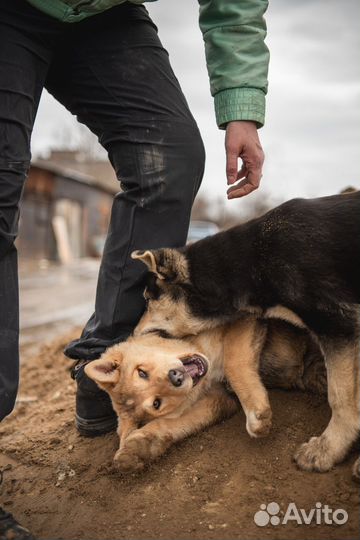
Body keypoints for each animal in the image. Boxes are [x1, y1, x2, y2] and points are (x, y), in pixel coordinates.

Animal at [85, 318, 330, 474]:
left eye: (142, 373)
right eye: (157, 403)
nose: (176, 377)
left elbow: (233, 362)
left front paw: (256, 410)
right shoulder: (219, 399)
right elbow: (173, 425)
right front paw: (139, 448)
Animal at [132, 193, 360, 472]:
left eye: (147, 299)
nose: (132, 333)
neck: (251, 261)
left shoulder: (336, 323)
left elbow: (339, 396)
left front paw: (327, 450)